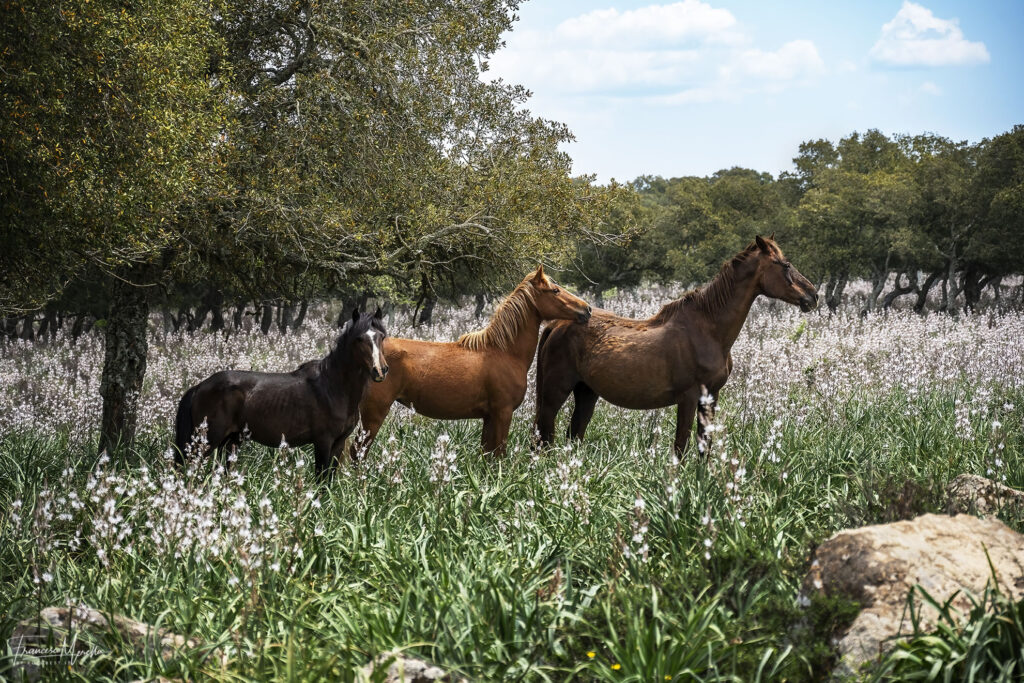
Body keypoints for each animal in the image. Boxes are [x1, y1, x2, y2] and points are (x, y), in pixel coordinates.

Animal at [174, 308, 388, 477]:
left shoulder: (339, 443)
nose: (380, 370)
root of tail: (199, 387)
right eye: (359, 339)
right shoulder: (323, 442)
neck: (333, 388)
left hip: (231, 441)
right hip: (205, 442)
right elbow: (320, 480)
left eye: (382, 337)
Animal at [351, 266, 592, 459]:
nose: (587, 309)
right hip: (373, 414)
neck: (504, 351)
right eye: (555, 290)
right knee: (357, 453)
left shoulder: (489, 418)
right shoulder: (502, 413)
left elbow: (487, 456)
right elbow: (499, 455)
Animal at [534, 235, 819, 455]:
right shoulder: (689, 398)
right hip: (555, 392)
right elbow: (681, 446)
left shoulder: (710, 397)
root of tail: (556, 325)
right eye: (785, 265)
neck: (707, 330)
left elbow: (705, 446)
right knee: (544, 436)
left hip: (586, 392)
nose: (813, 296)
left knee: (573, 435)